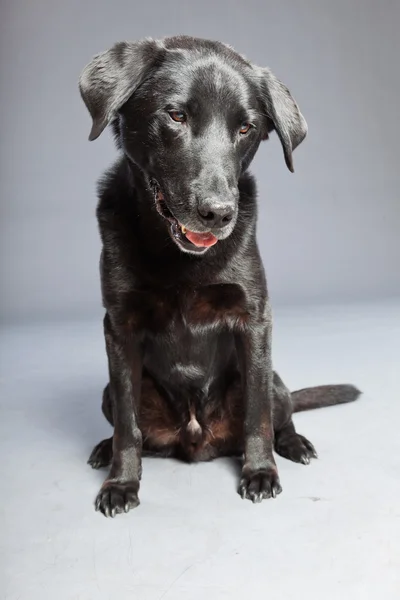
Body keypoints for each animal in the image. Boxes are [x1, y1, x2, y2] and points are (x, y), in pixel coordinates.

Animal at [78, 36, 360, 516]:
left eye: (246, 128)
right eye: (176, 115)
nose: (218, 213)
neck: (177, 257)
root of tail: (197, 441)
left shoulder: (254, 321)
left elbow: (257, 417)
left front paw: (261, 472)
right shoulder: (119, 328)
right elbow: (129, 427)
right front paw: (121, 482)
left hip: (273, 378)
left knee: (278, 412)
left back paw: (294, 444)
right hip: (106, 393)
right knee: (127, 423)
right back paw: (102, 449)